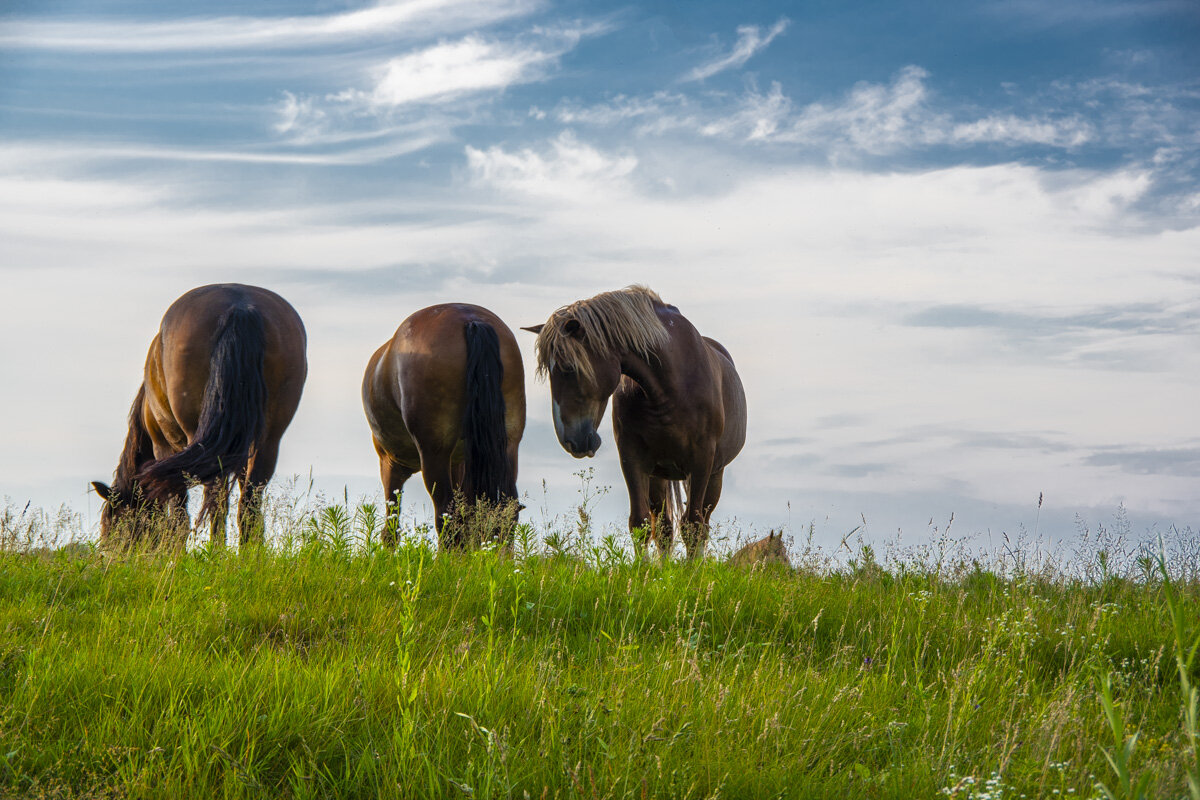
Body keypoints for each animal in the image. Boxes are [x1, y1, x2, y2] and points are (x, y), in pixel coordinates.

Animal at [94, 284, 309, 546]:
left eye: (115, 525)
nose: (110, 553)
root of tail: (241, 305)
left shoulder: (163, 446)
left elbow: (177, 513)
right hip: (268, 441)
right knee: (249, 505)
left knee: (215, 501)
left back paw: (216, 551)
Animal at [357, 303, 523, 546]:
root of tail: (470, 319)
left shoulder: (390, 463)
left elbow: (391, 527)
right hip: (509, 444)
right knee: (505, 511)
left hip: (433, 453)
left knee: (447, 516)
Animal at [523, 286, 739, 556]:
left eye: (569, 367)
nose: (570, 441)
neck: (669, 386)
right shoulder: (632, 457)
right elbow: (640, 524)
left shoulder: (701, 461)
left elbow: (693, 526)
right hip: (659, 476)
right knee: (664, 528)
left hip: (714, 474)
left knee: (700, 523)